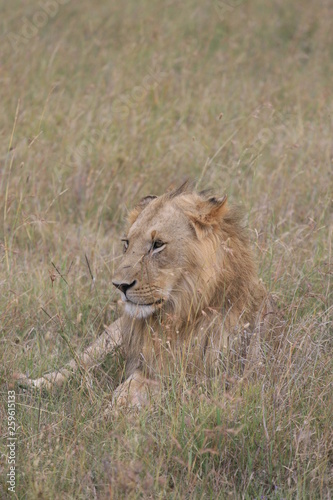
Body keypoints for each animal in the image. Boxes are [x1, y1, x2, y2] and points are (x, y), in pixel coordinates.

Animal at [14, 182, 276, 408]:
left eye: (157, 244)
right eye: (126, 243)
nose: (119, 285)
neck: (179, 315)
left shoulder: (217, 381)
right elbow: (128, 384)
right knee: (76, 364)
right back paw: (30, 384)